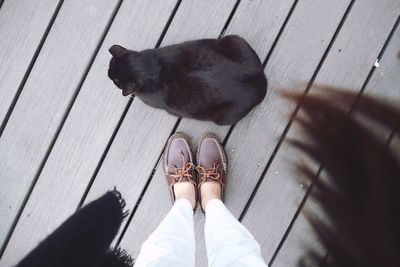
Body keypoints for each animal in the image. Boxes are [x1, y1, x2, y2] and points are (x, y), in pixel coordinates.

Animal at [108, 35, 268, 125]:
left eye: (116, 81)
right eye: (111, 65)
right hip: (235, 40)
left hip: (223, 118)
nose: (108, 74)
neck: (150, 69)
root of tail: (260, 78)